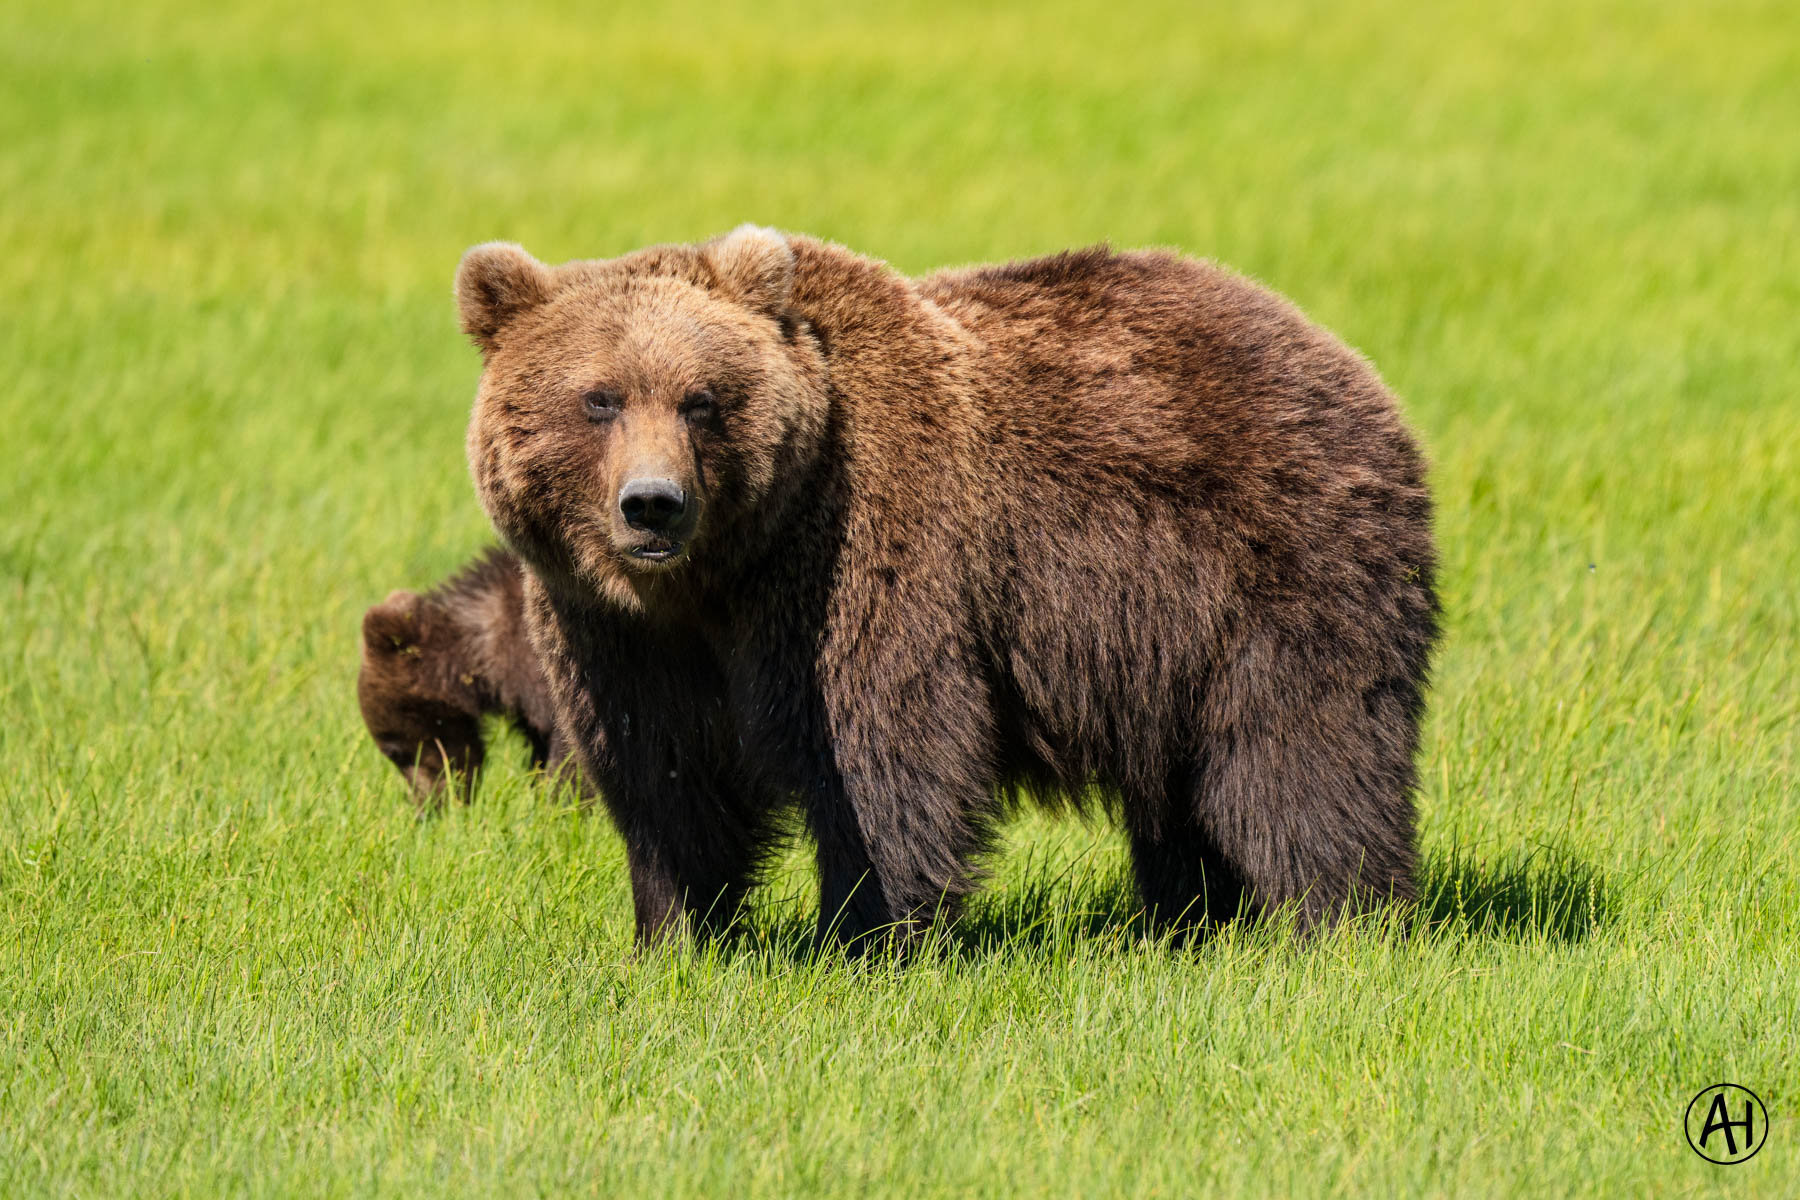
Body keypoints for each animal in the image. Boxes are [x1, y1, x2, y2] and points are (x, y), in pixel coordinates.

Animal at [456, 226, 1438, 950]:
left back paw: (1341, 919)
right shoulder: (617, 633)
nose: (654, 505)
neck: (722, 575)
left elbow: (881, 752)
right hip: (1162, 641)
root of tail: (1338, 353)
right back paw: (1189, 917)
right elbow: (667, 779)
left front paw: (864, 937)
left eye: (703, 400)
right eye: (600, 398)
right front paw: (676, 936)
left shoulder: (860, 561)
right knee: (1181, 780)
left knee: (1301, 750)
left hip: (1276, 563)